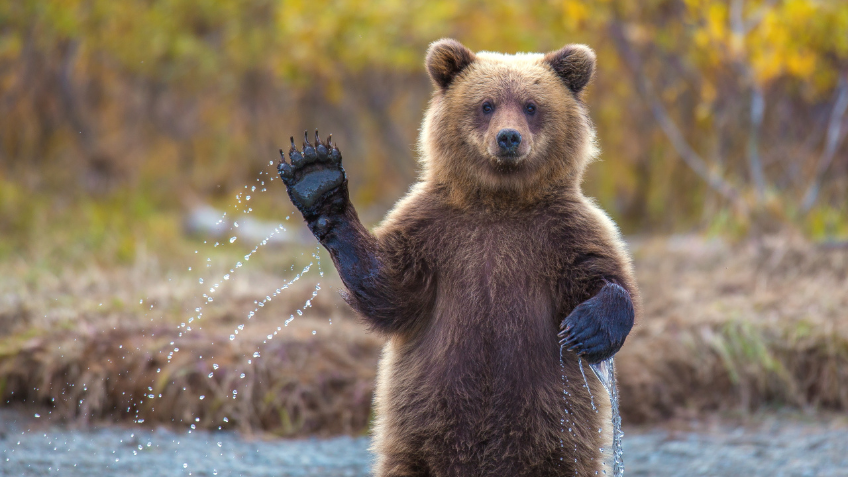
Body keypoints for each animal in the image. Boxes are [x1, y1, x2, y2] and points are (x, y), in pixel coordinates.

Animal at [277, 38, 640, 476]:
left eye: (531, 105)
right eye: (486, 104)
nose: (508, 138)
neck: (499, 201)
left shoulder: (563, 231)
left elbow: (605, 275)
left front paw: (586, 327)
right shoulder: (434, 231)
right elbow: (390, 289)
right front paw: (316, 176)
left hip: (558, 435)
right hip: (418, 431)